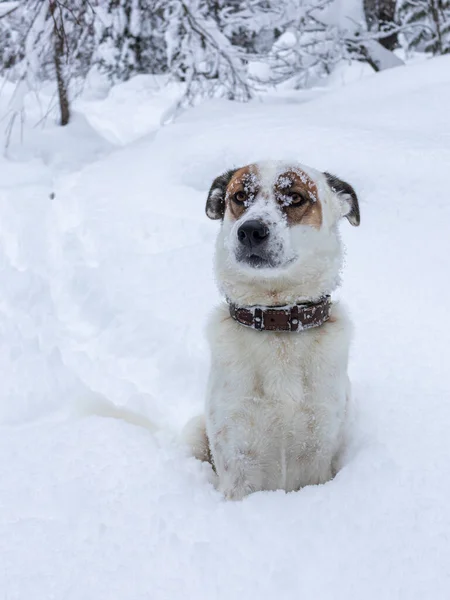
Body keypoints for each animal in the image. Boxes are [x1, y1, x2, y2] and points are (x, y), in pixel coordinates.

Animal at [181, 161, 360, 502]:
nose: (250, 230)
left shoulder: (319, 450)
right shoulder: (236, 457)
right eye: (239, 196)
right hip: (194, 432)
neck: (278, 322)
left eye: (295, 197)